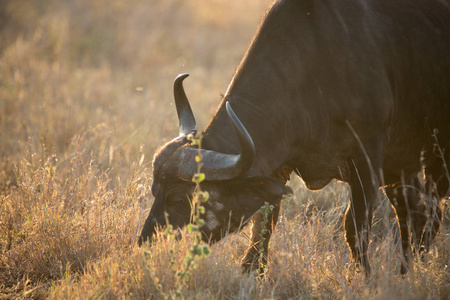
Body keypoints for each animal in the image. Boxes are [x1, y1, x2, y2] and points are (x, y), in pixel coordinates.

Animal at [139, 0, 448, 276]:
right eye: (154, 191)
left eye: (180, 200)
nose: (147, 245)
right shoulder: (279, 166)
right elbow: (263, 224)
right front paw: (251, 272)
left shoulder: (367, 163)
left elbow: (355, 228)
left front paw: (363, 278)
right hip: (403, 169)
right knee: (418, 214)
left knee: (427, 212)